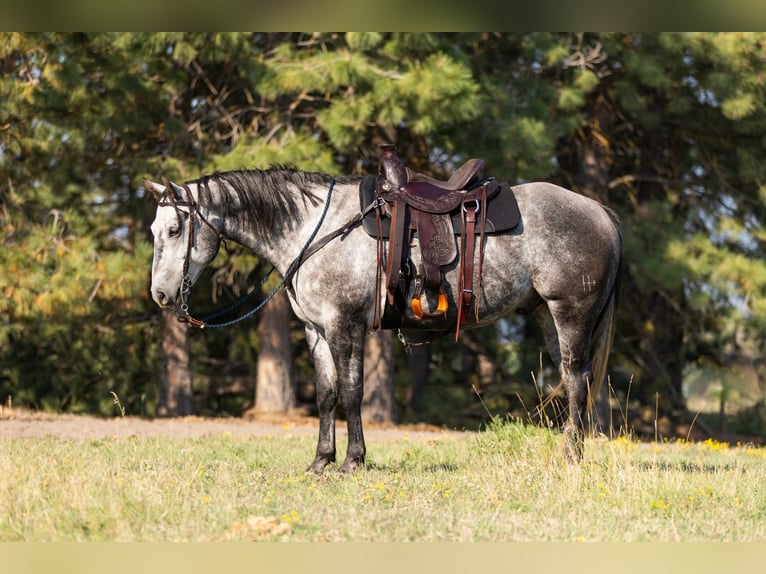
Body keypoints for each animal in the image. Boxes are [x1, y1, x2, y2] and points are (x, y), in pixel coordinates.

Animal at [147, 169, 620, 474]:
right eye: (154, 230)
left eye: (173, 229)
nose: (161, 295)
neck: (312, 228)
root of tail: (600, 211)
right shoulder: (317, 332)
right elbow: (326, 395)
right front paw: (320, 461)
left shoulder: (345, 326)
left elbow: (352, 393)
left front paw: (352, 461)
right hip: (546, 315)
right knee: (573, 381)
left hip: (570, 315)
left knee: (576, 382)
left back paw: (571, 458)